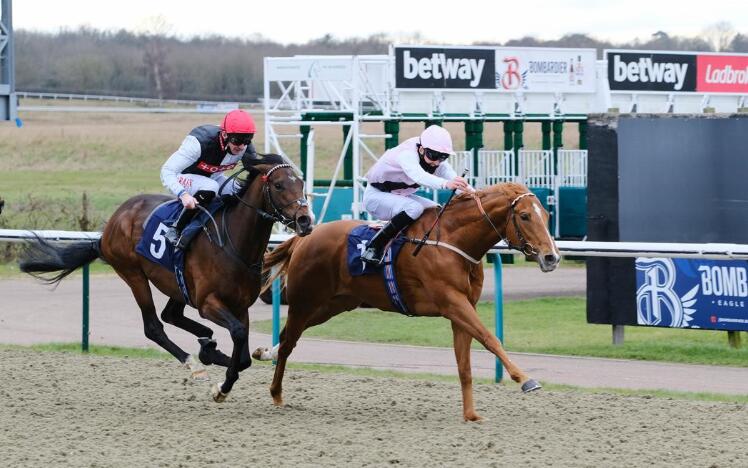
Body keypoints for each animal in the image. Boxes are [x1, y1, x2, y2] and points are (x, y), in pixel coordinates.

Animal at [19, 154, 312, 402]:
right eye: (278, 185)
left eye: (301, 183)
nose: (305, 221)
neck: (234, 243)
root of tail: (109, 227)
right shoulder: (208, 303)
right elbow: (238, 337)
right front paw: (221, 387)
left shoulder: (240, 306)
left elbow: (244, 358)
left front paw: (219, 358)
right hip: (133, 274)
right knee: (153, 327)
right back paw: (195, 365)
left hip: (176, 284)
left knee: (171, 315)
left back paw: (208, 347)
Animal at [256, 182, 556, 420]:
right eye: (525, 216)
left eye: (547, 215)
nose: (551, 257)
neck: (452, 239)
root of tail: (304, 238)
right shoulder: (452, 302)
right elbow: (490, 338)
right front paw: (525, 379)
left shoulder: (462, 309)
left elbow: (465, 364)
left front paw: (471, 415)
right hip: (305, 301)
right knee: (289, 342)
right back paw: (276, 392)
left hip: (332, 304)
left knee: (288, 336)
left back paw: (265, 353)